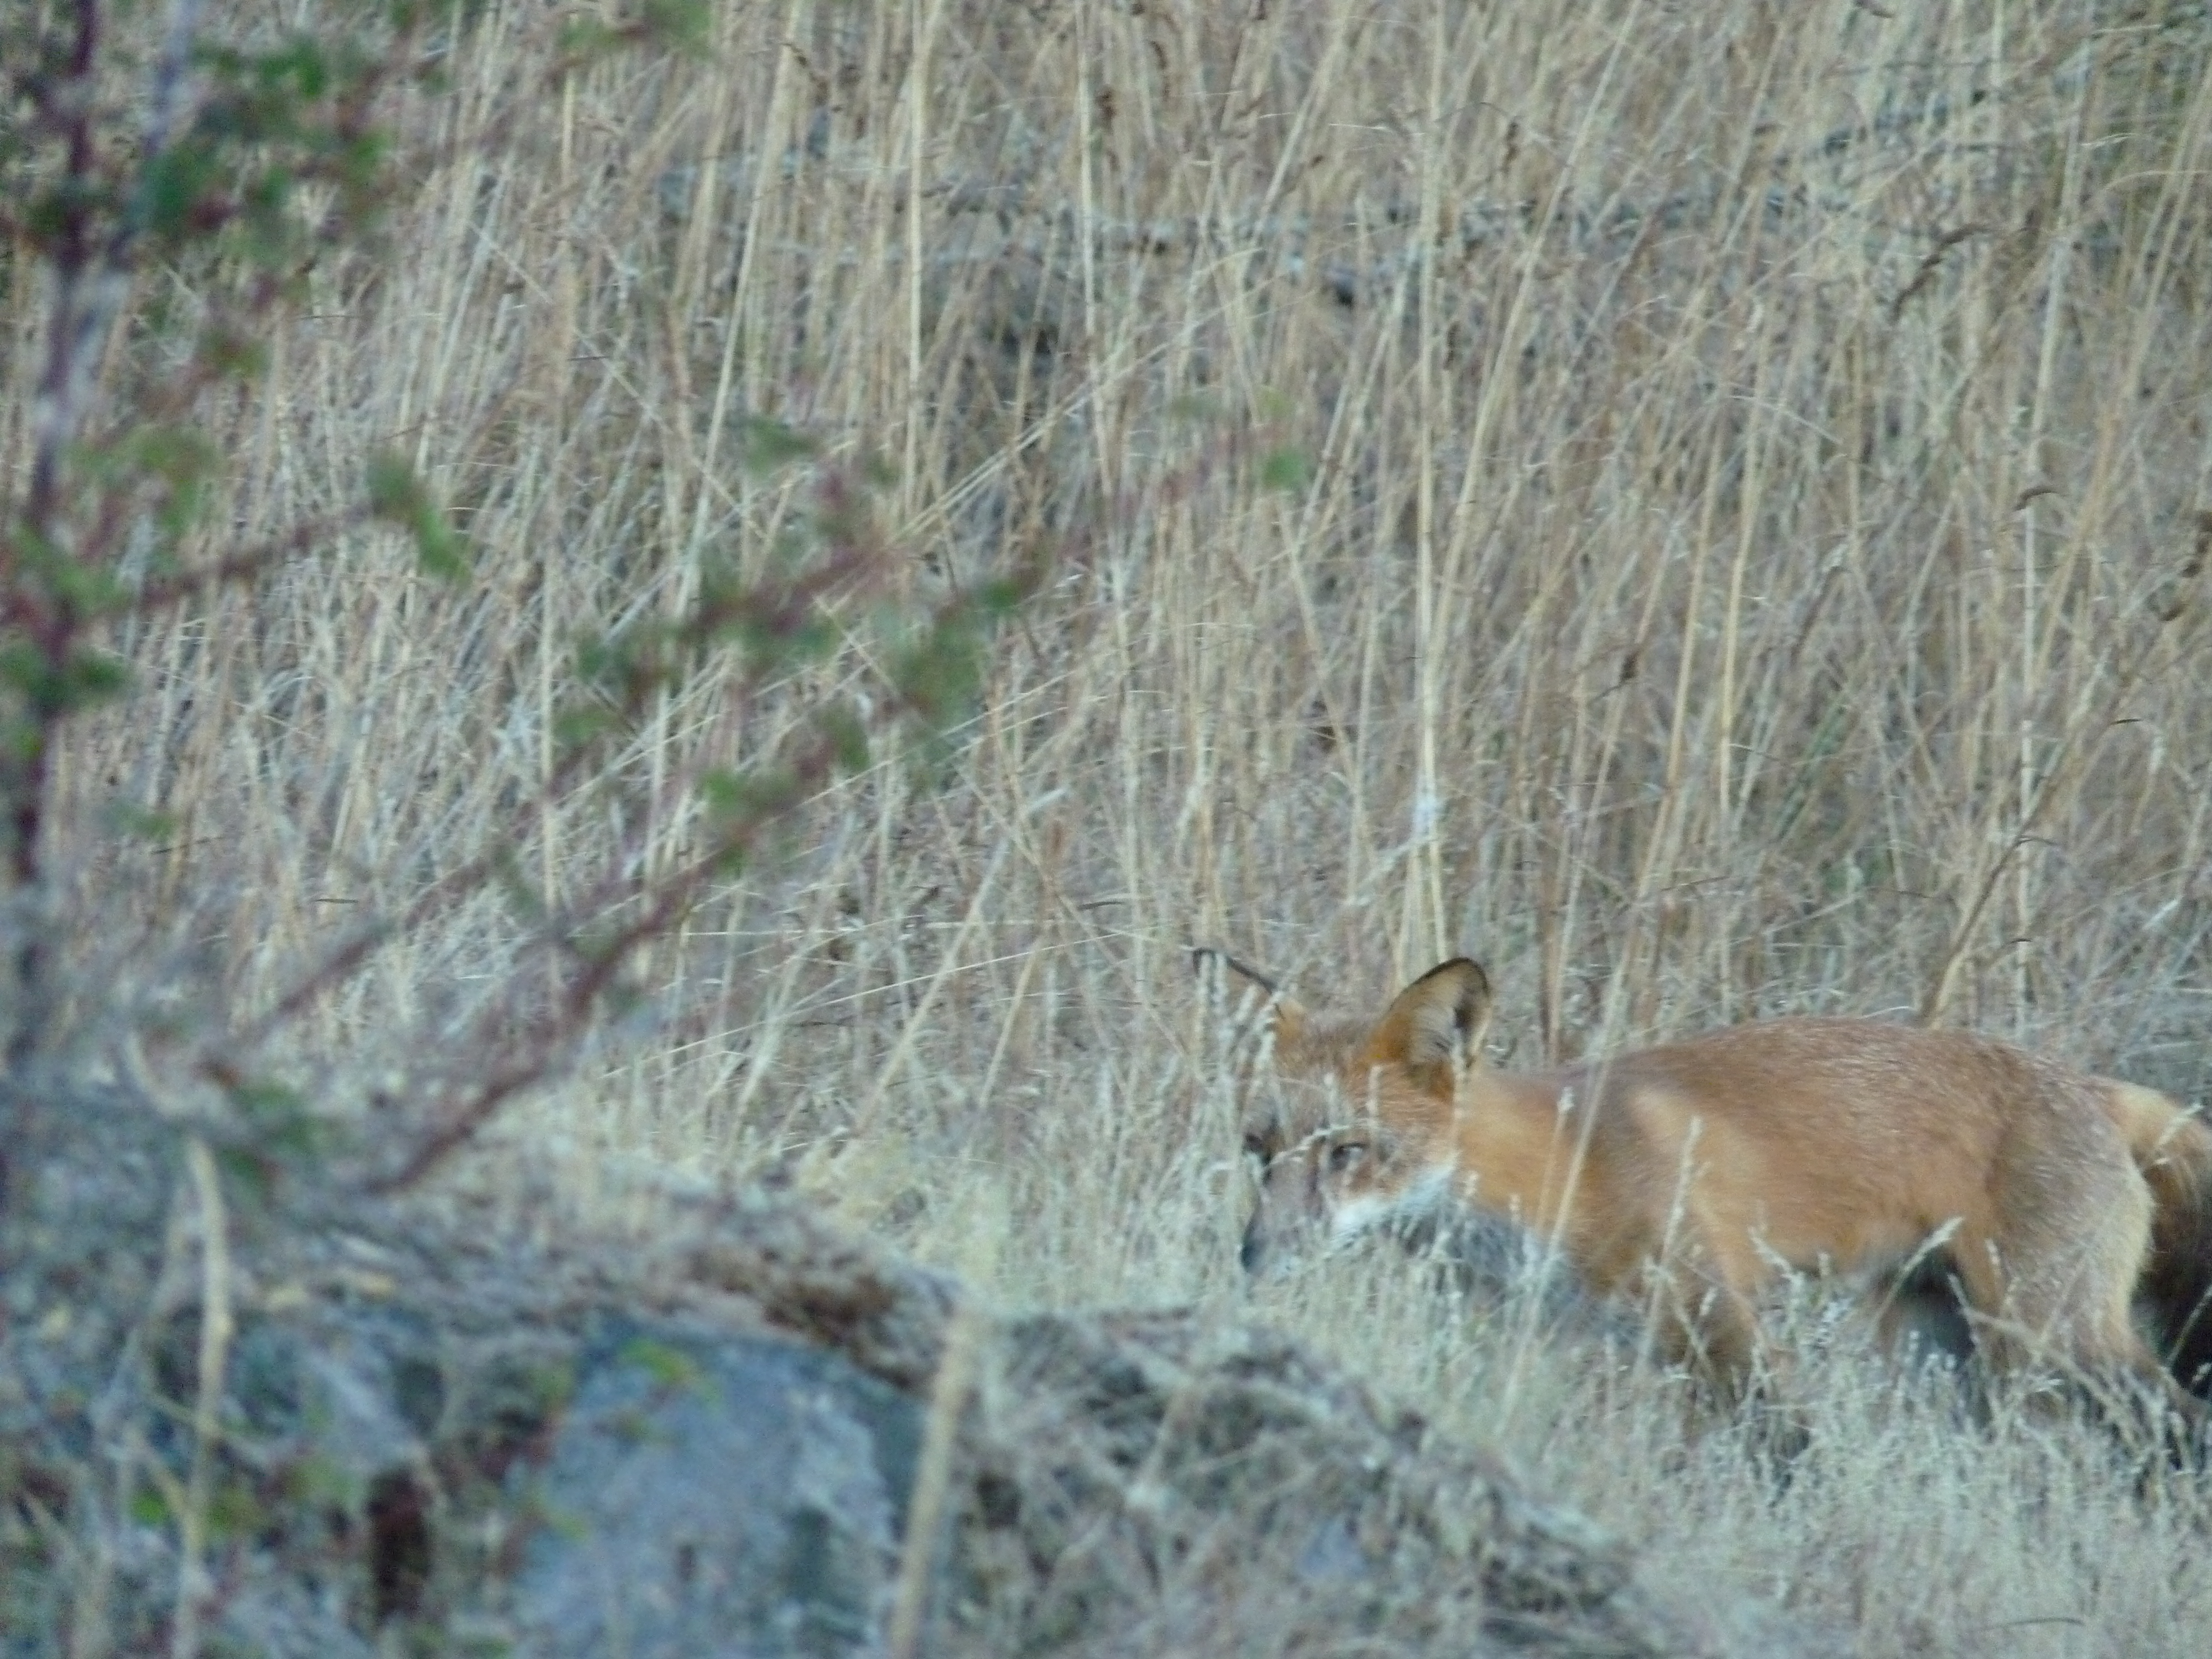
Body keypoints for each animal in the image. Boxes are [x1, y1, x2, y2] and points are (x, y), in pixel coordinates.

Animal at [1201, 950, 2212, 1436]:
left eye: (1349, 1152)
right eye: (1259, 1150)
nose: (1251, 1258)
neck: (1559, 1168)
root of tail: (2095, 1088)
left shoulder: (1716, 1318)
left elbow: (1790, 1458)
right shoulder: (1560, 1343)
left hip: (2054, 1343)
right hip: (1952, 1357)